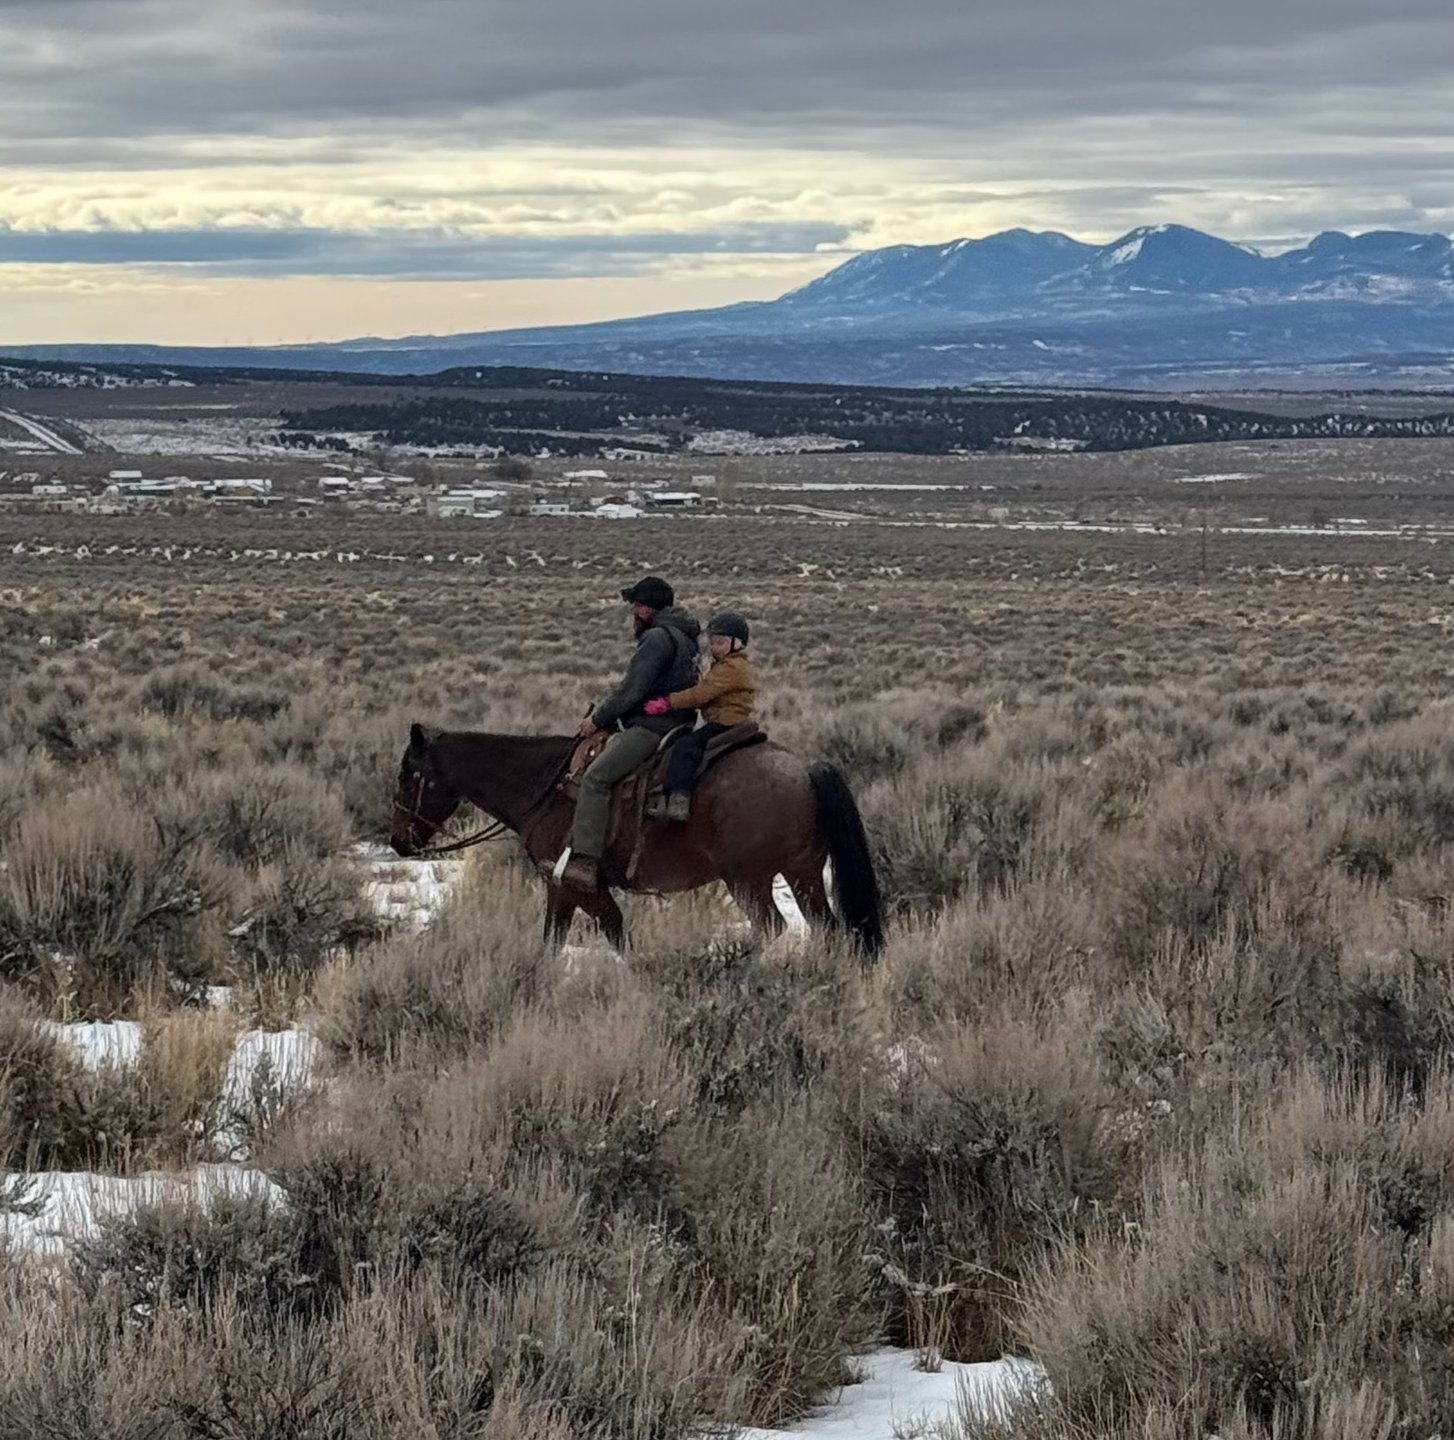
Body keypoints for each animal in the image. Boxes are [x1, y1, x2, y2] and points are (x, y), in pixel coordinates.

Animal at [390, 722, 885, 957]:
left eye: (407, 773)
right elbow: (552, 942)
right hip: (803, 874)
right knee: (830, 930)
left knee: (772, 928)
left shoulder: (583, 887)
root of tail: (805, 769)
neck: (542, 786)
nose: (398, 841)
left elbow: (617, 935)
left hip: (750, 880)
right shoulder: (558, 887)